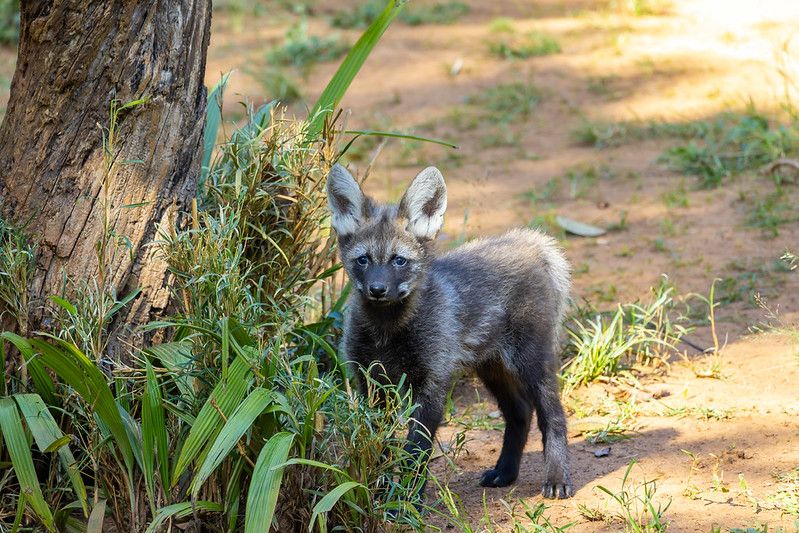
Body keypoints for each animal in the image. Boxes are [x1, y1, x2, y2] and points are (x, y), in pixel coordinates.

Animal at [326, 164, 572, 498]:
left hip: (530, 362)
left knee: (553, 415)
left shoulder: (431, 384)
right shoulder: (371, 384)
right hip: (491, 367)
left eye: (399, 260)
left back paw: (557, 478)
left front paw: (407, 501)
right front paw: (378, 495)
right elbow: (379, 447)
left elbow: (415, 453)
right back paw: (505, 473)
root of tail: (530, 241)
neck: (387, 332)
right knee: (520, 412)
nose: (377, 290)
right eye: (363, 260)